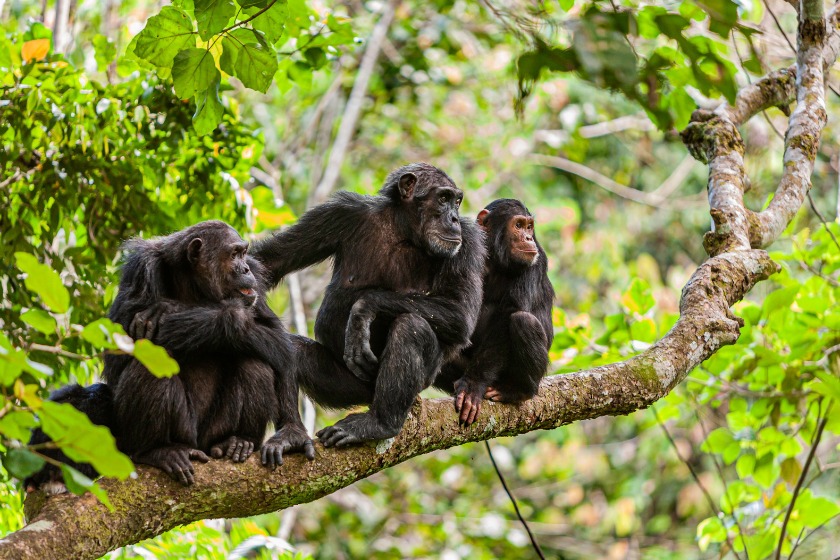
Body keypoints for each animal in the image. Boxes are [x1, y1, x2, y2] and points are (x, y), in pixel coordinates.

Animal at [102, 221, 316, 484]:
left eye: (244, 253)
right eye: (234, 254)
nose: (245, 268)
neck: (192, 282)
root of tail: (200, 447)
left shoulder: (256, 282)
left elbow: (278, 342)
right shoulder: (141, 269)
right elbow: (118, 355)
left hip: (214, 431)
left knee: (255, 362)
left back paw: (238, 441)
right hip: (183, 434)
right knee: (149, 367)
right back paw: (156, 451)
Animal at [253, 161, 482, 446]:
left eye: (457, 201)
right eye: (443, 198)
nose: (453, 218)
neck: (403, 229)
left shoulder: (468, 241)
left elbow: (460, 313)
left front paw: (363, 310)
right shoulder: (338, 213)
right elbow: (269, 261)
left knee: (411, 327)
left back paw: (380, 423)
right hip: (349, 386)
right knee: (290, 350)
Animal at [434, 201, 556, 424]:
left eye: (529, 227)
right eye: (518, 225)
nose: (528, 238)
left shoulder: (535, 262)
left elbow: (509, 314)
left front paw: (473, 385)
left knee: (523, 321)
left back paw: (518, 391)